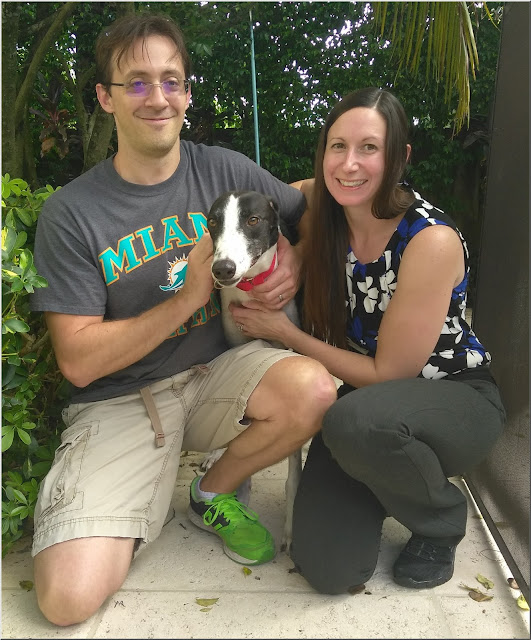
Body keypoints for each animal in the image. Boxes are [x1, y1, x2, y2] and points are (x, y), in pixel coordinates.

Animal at [202, 189, 304, 552]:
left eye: (253, 219)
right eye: (213, 221)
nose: (223, 269)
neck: (251, 291)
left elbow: (293, 474)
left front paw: (290, 530)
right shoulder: (238, 347)